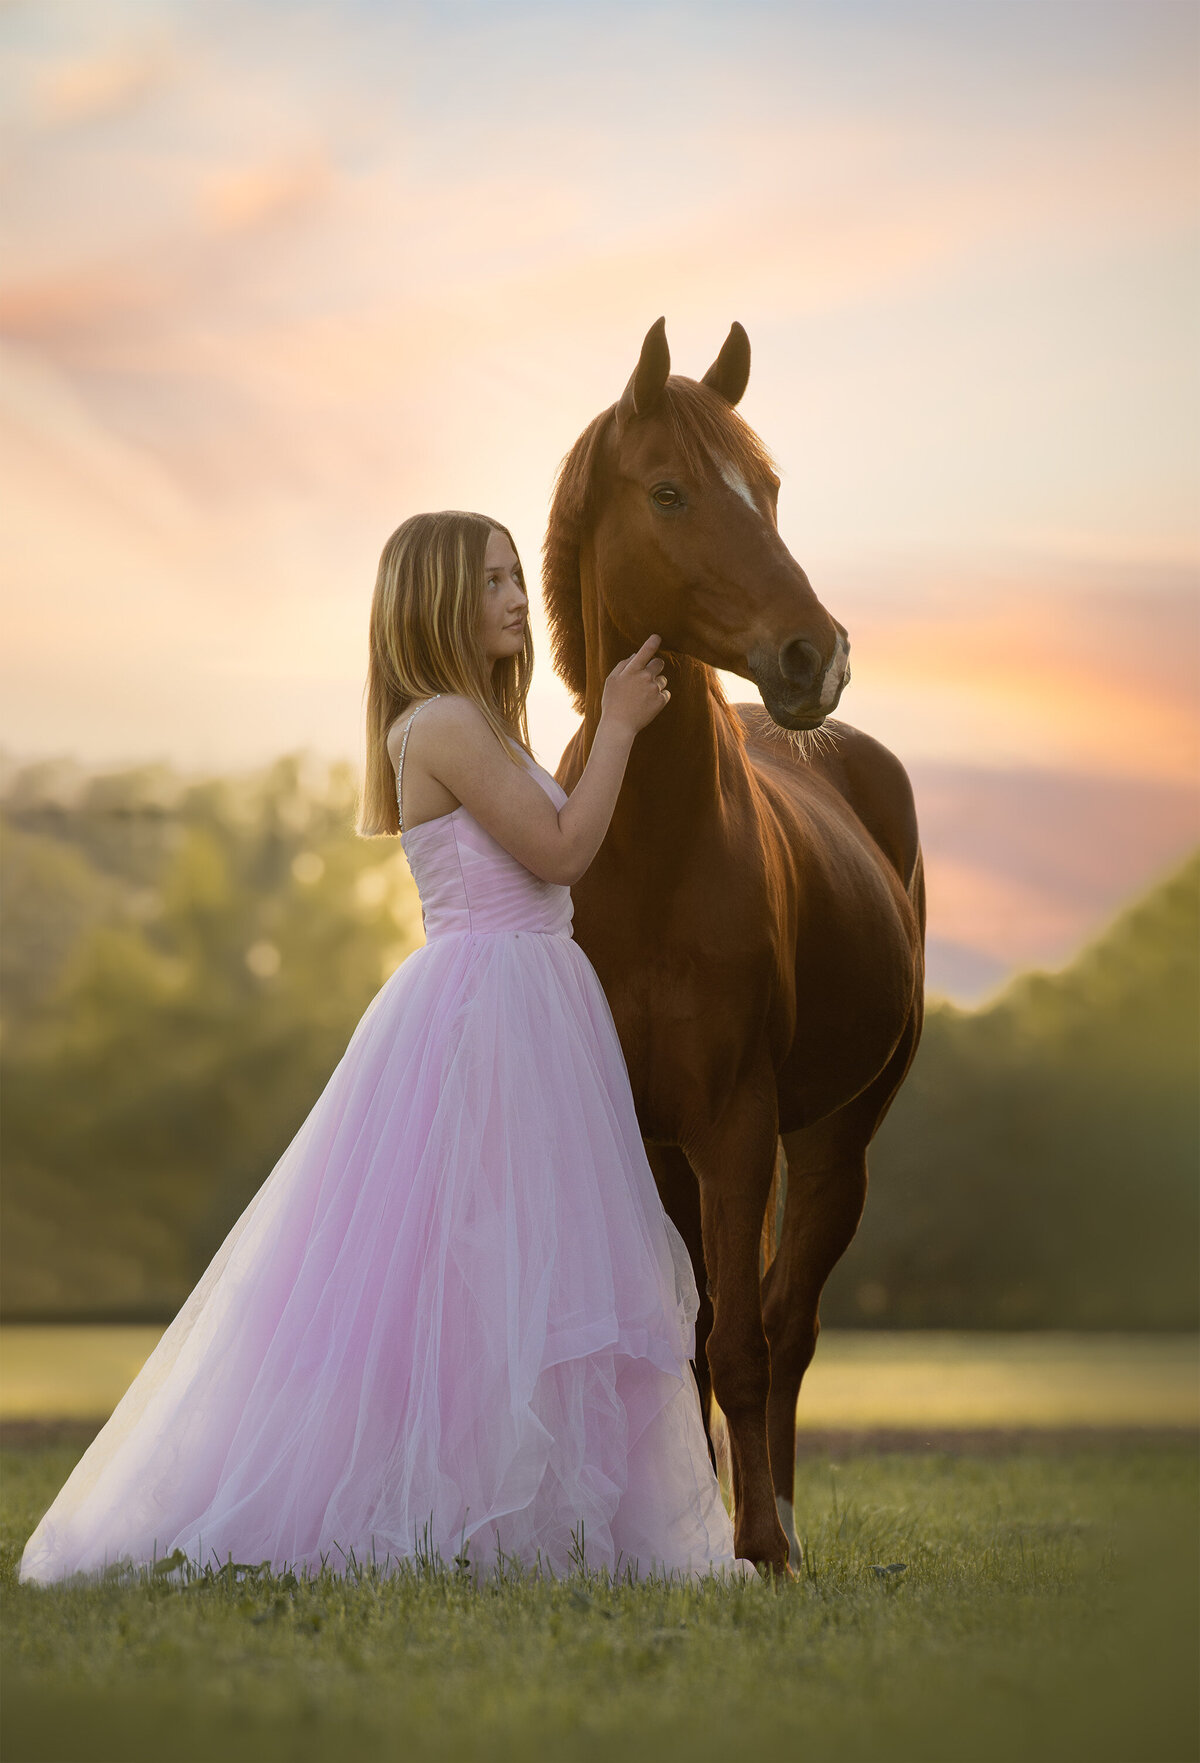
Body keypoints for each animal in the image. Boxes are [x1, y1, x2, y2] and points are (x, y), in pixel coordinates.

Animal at [542, 320, 923, 1586]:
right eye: (669, 490)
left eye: (771, 489)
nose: (817, 655)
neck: (650, 855)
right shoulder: (657, 1133)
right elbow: (694, 1336)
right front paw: (689, 1527)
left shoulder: (736, 1123)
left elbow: (749, 1339)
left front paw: (754, 1543)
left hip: (834, 1138)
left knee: (788, 1319)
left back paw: (787, 1526)